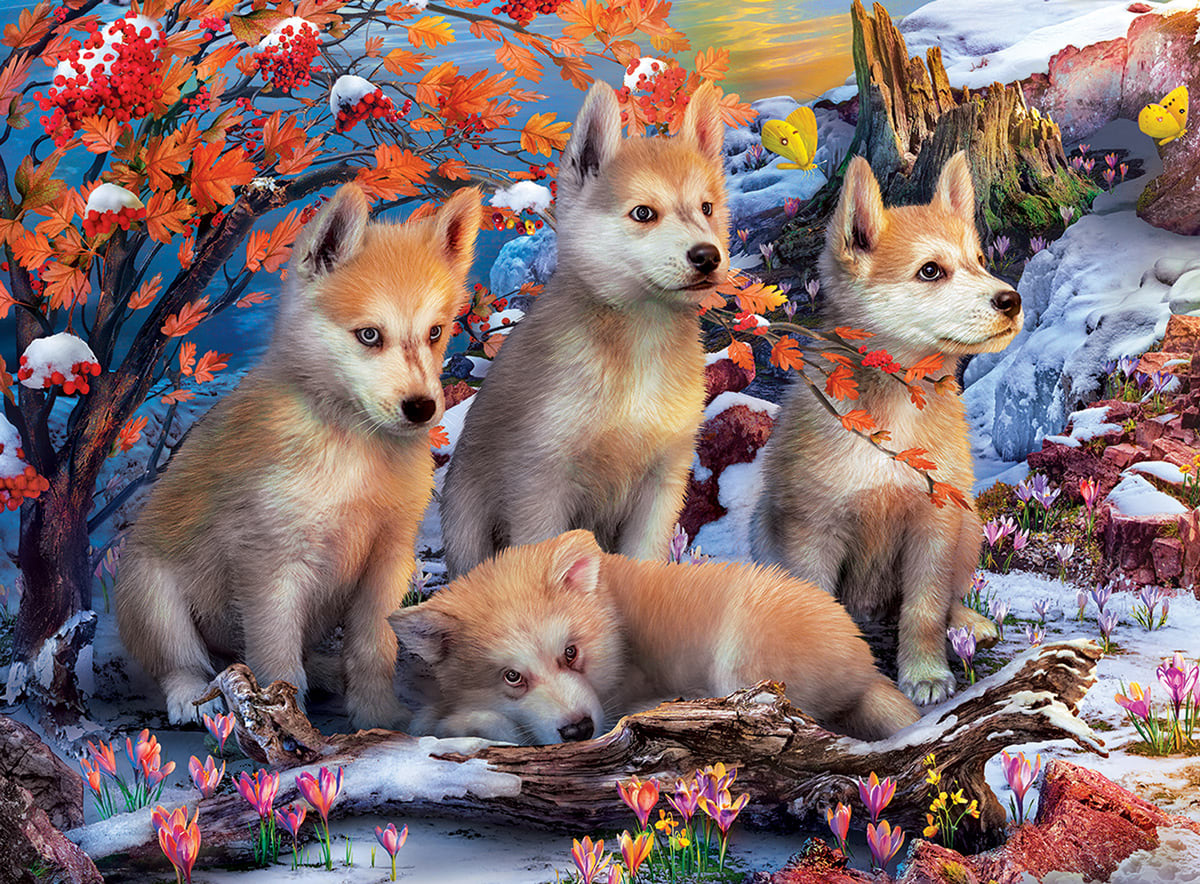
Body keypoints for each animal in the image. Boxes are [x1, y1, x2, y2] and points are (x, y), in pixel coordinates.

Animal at [115, 184, 482, 727]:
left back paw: (328, 672)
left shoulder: (387, 558)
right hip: (150, 590)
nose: (421, 408)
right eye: (369, 335)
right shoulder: (271, 566)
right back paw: (190, 696)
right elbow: (277, 664)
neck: (352, 448)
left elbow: (372, 648)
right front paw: (291, 732)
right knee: (184, 660)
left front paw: (379, 719)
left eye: (435, 332)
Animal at [439, 81, 730, 578]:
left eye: (707, 208)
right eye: (643, 213)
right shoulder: (541, 482)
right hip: (466, 524)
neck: (638, 347)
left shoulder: (663, 480)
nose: (708, 256)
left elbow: (643, 560)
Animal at [752, 151, 1024, 706]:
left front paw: (925, 673)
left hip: (968, 529)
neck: (897, 413)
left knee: (946, 597)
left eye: (979, 259)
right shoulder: (813, 532)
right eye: (930, 271)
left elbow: (924, 609)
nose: (1012, 300)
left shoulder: (934, 526)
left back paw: (969, 621)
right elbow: (818, 610)